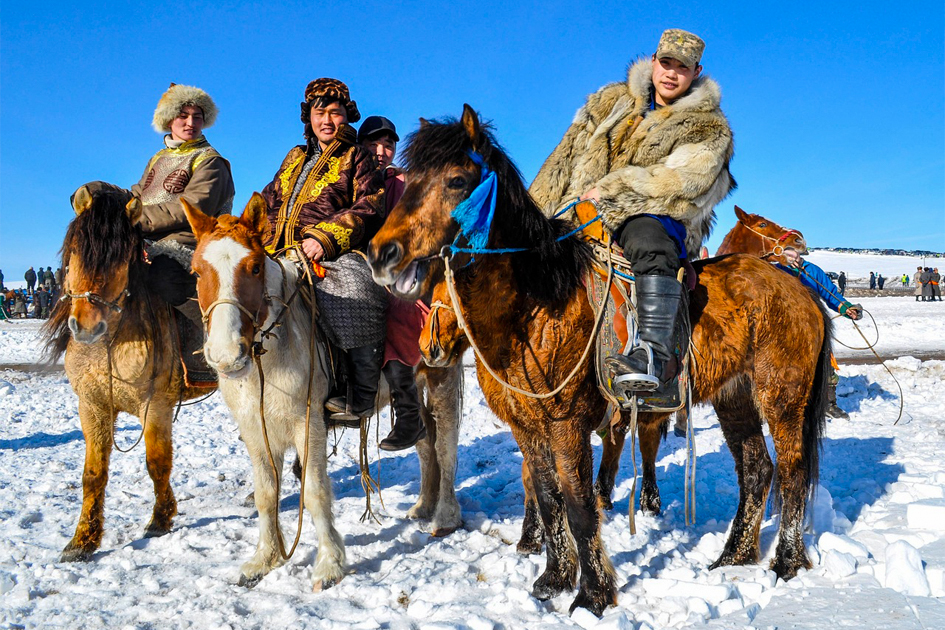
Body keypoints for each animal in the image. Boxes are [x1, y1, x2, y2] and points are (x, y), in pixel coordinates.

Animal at [42, 185, 213, 561]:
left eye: (120, 257)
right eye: (75, 251)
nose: (86, 327)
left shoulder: (156, 405)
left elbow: (157, 462)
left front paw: (160, 520)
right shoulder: (92, 406)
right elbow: (94, 473)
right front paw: (82, 541)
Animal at [368, 105, 832, 616]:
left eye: (454, 180)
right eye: (408, 179)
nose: (382, 252)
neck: (537, 306)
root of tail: (797, 284)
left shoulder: (567, 423)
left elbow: (578, 504)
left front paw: (593, 594)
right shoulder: (528, 427)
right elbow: (547, 497)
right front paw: (553, 578)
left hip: (782, 398)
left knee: (792, 471)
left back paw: (785, 562)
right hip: (737, 399)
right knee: (756, 470)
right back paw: (735, 556)